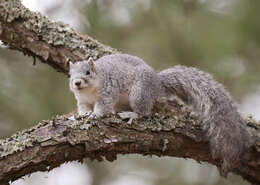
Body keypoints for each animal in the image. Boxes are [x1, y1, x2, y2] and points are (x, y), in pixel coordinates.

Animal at [68, 53, 251, 176]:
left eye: (88, 72)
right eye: (70, 75)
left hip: (139, 92)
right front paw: (83, 115)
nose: (76, 82)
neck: (89, 91)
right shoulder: (82, 101)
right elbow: (83, 109)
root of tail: (157, 84)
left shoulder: (108, 91)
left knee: (144, 111)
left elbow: (103, 106)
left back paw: (132, 115)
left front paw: (95, 115)